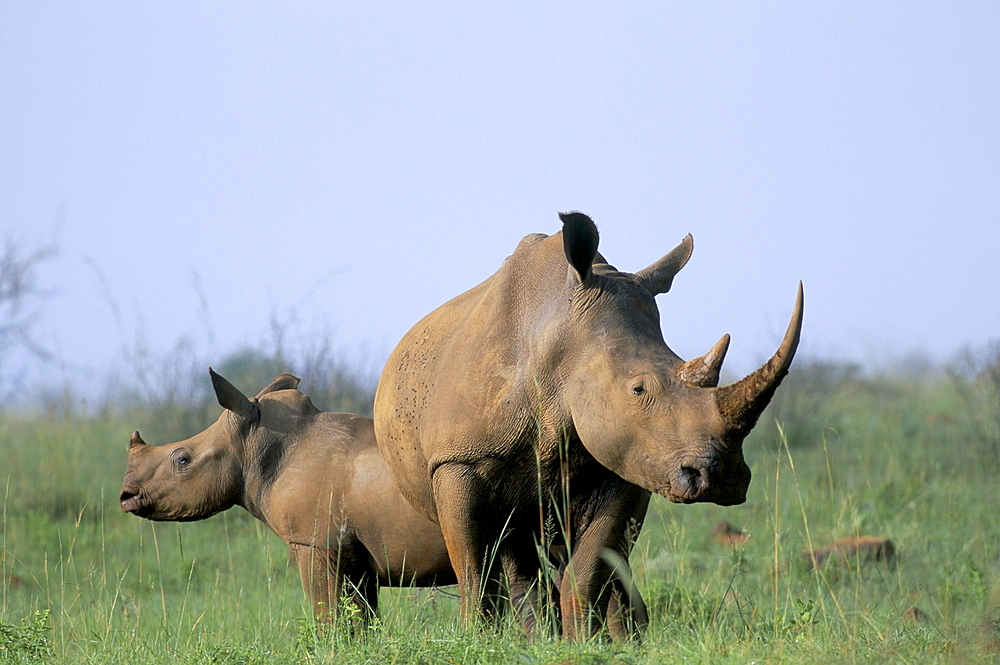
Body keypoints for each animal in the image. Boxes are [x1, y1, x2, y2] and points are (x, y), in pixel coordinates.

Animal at [118, 368, 458, 616]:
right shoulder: (353, 554)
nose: (125, 496)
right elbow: (361, 619)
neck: (255, 444)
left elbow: (332, 618)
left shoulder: (316, 543)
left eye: (182, 460)